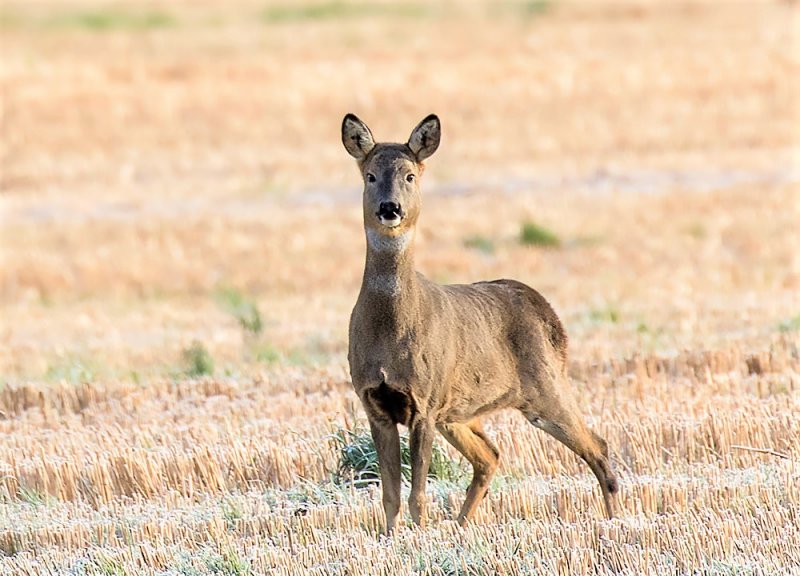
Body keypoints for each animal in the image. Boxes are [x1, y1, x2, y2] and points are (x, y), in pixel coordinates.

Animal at [340, 113, 616, 536]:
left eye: (409, 175)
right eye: (370, 175)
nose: (390, 208)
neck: (389, 333)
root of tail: (548, 314)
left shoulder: (424, 400)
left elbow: (417, 493)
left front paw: (419, 537)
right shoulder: (375, 403)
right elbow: (390, 495)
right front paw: (390, 539)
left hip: (544, 385)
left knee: (598, 447)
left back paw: (617, 521)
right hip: (459, 410)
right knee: (490, 455)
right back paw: (460, 525)